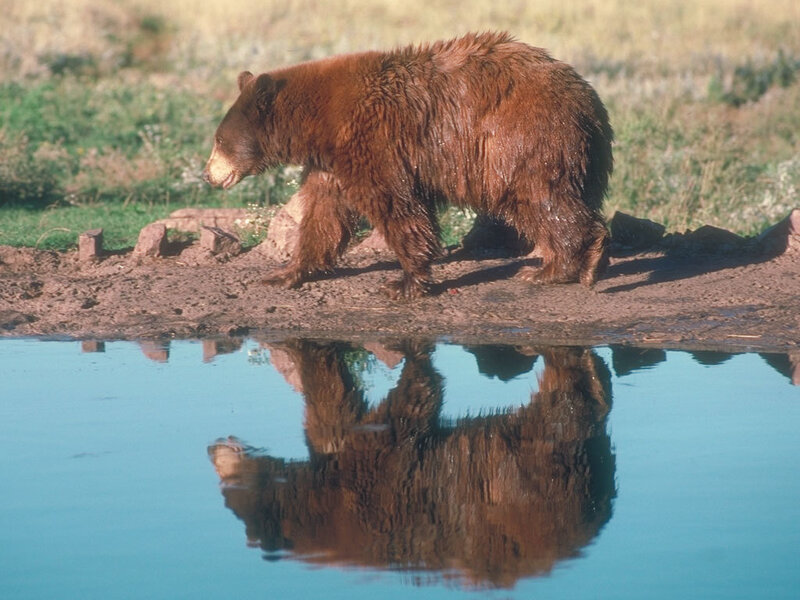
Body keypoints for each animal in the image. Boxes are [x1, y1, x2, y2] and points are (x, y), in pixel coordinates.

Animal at [203, 32, 613, 299]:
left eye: (219, 140)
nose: (208, 175)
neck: (318, 122)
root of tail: (588, 98)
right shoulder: (332, 162)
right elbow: (324, 213)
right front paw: (286, 272)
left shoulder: (372, 139)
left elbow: (395, 203)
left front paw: (404, 281)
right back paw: (558, 266)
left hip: (521, 139)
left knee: (540, 198)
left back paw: (565, 264)